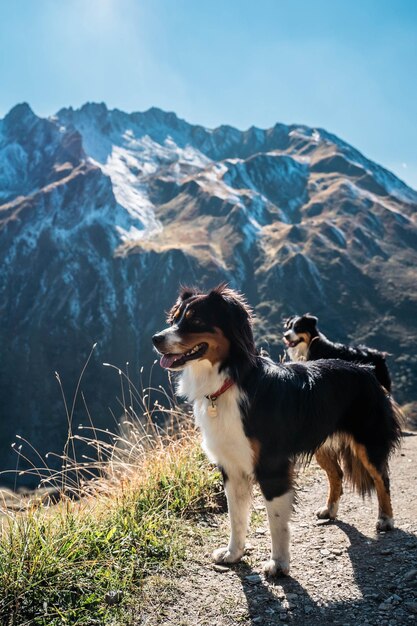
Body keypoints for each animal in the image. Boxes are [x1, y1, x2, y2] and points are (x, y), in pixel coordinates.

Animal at [152, 286, 400, 572]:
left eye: (196, 320)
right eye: (175, 319)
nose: (155, 339)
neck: (230, 380)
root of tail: (366, 368)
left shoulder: (271, 466)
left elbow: (276, 521)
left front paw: (279, 564)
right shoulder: (231, 466)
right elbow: (236, 517)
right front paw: (233, 554)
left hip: (367, 441)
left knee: (382, 477)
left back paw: (386, 519)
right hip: (321, 442)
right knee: (336, 474)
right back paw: (330, 510)